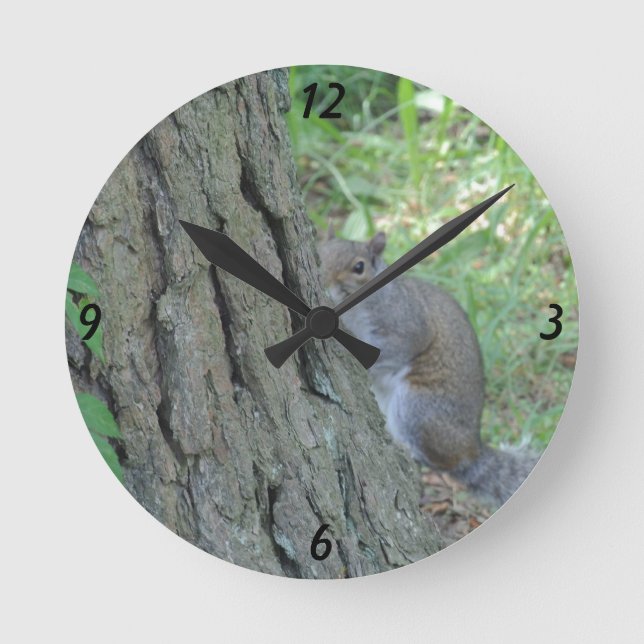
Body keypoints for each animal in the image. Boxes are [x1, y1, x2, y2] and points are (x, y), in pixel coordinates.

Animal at [318, 228, 538, 506]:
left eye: (359, 267)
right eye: (319, 252)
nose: (323, 280)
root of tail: (472, 450)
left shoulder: (406, 325)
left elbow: (392, 350)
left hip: (417, 406)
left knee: (438, 461)